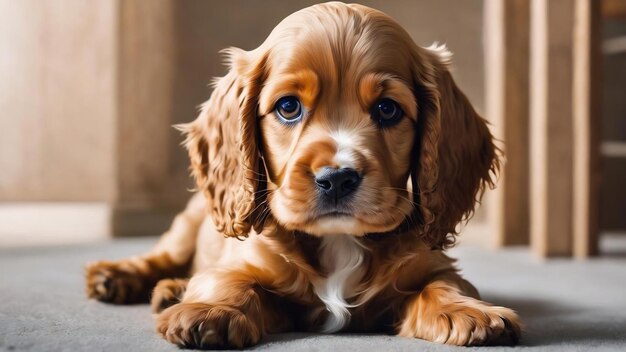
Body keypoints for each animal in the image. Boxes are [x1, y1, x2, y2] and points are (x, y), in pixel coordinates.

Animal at [85, 2, 520, 348]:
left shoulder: (430, 263)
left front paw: (470, 311)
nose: (337, 178)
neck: (338, 241)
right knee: (162, 256)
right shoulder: (244, 259)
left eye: (388, 109)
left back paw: (171, 290)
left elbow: (443, 284)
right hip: (188, 225)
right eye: (289, 107)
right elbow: (225, 279)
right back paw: (120, 278)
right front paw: (210, 311)